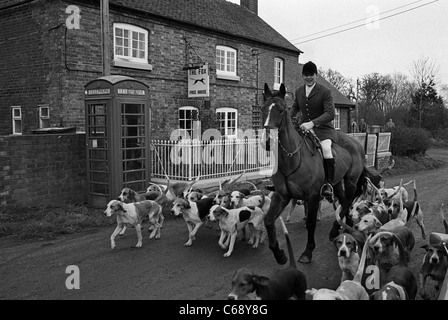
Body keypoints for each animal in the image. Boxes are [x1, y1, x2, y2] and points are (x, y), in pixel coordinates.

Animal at [260, 83, 370, 264]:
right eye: (263, 109)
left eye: (282, 110)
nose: (267, 142)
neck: (292, 158)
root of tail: (356, 143)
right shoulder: (282, 195)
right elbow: (268, 221)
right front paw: (280, 254)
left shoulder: (311, 196)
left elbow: (311, 223)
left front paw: (308, 251)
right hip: (336, 182)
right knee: (343, 202)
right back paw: (344, 227)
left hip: (351, 180)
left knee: (347, 201)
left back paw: (335, 230)